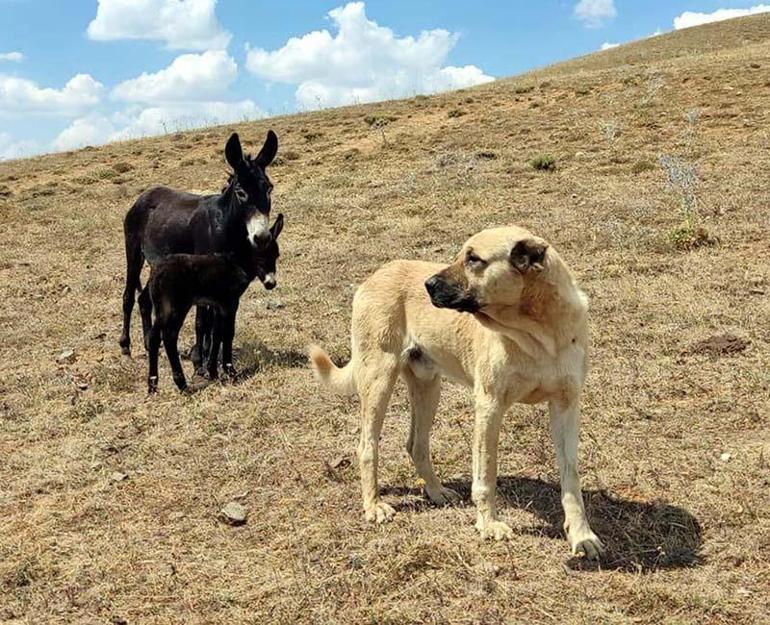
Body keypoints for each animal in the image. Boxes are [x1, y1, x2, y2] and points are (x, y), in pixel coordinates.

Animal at [308, 224, 604, 556]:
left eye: (473, 259)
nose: (427, 285)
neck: (539, 334)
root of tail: (376, 275)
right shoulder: (489, 406)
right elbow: (486, 475)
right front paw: (489, 525)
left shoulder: (566, 406)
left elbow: (571, 477)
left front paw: (581, 535)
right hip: (379, 380)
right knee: (367, 446)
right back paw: (374, 506)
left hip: (428, 386)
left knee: (416, 444)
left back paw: (436, 491)